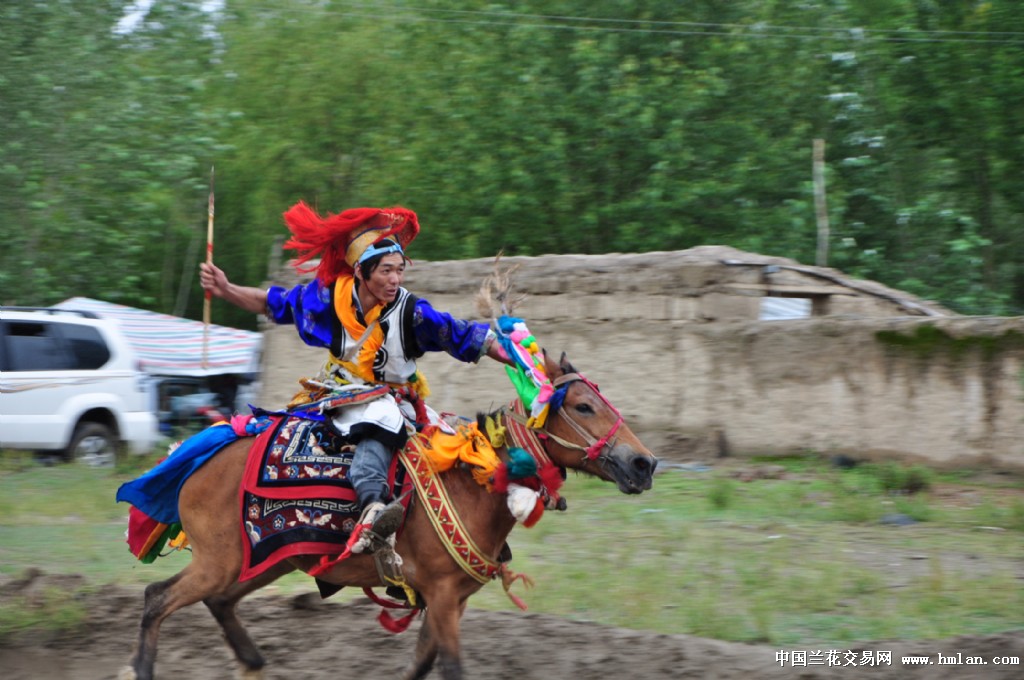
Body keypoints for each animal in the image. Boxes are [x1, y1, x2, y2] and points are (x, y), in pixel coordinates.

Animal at [119, 352, 655, 680]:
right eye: (583, 406)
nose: (643, 464)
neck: (475, 485)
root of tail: (196, 458)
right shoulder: (441, 595)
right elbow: (450, 669)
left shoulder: (449, 600)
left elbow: (420, 667)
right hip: (219, 560)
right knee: (156, 598)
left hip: (270, 558)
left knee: (219, 601)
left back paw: (252, 662)